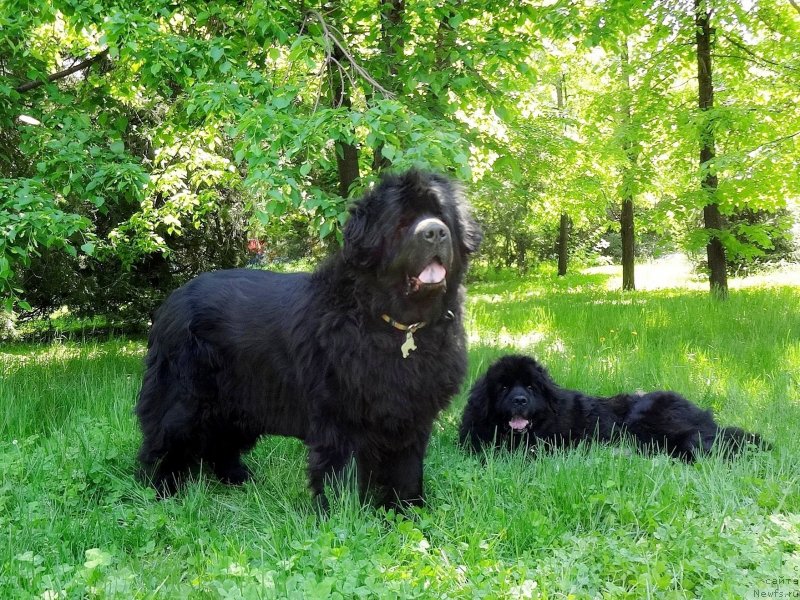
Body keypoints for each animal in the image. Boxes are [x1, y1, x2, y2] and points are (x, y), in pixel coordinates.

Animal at [138, 169, 482, 506]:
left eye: (442, 217)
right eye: (402, 222)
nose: (435, 232)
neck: (397, 325)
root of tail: (172, 300)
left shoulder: (411, 415)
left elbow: (407, 469)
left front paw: (407, 510)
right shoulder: (340, 416)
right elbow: (340, 472)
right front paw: (340, 511)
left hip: (237, 402)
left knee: (221, 443)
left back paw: (238, 479)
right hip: (185, 398)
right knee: (163, 443)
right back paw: (163, 491)